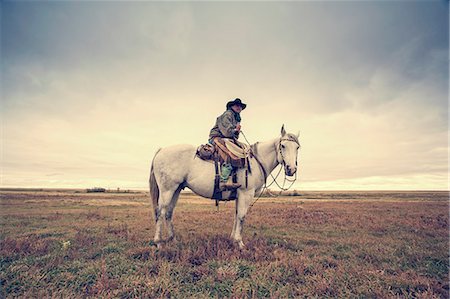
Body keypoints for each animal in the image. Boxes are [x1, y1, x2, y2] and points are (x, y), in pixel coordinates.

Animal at [149, 125, 300, 250]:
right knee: (160, 212)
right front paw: (240, 243)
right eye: (283, 146)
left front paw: (233, 239)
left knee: (169, 212)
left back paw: (173, 240)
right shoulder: (246, 194)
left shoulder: (239, 195)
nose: (291, 169)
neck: (256, 161)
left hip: (176, 189)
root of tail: (161, 150)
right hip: (167, 190)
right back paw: (158, 242)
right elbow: (242, 216)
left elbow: (236, 215)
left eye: (297, 147)